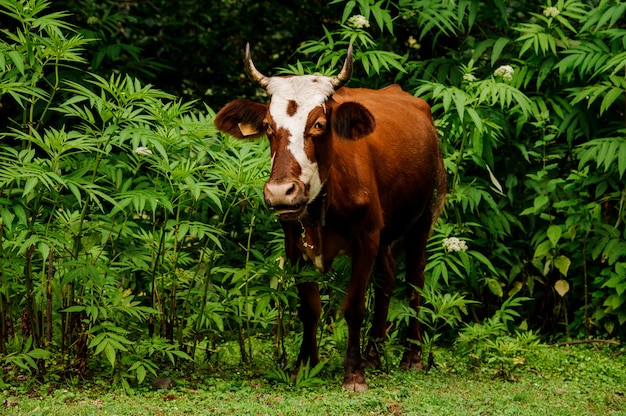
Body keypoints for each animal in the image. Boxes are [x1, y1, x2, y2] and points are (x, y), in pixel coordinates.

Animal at [212, 44, 446, 392]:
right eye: (268, 126)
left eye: (319, 124)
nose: (281, 191)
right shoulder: (295, 243)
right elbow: (309, 308)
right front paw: (304, 365)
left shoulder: (366, 238)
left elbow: (353, 307)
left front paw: (354, 373)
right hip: (386, 234)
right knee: (387, 278)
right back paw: (374, 352)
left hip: (421, 219)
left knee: (414, 282)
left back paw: (412, 357)